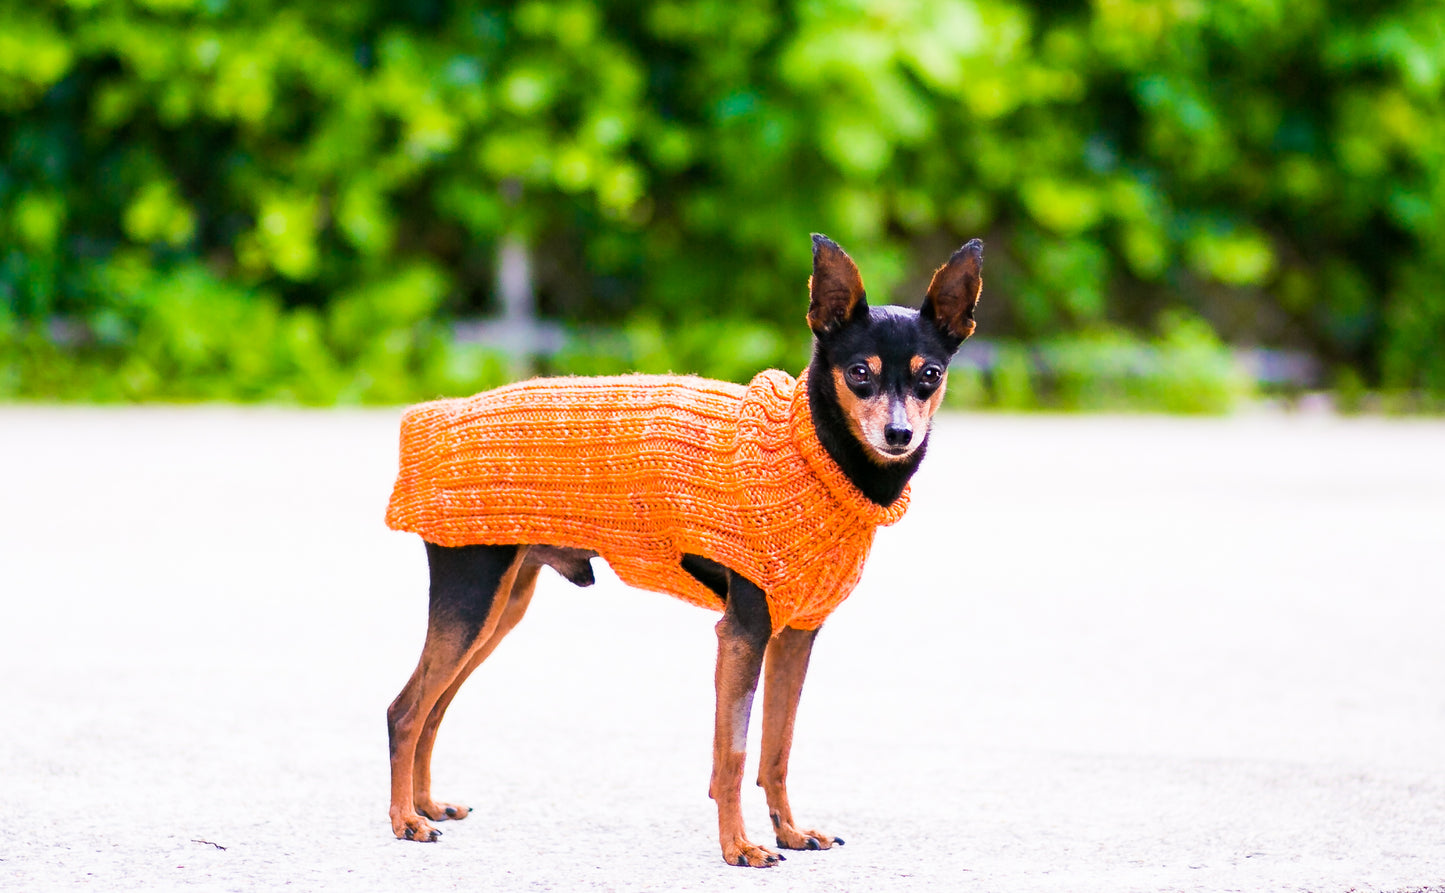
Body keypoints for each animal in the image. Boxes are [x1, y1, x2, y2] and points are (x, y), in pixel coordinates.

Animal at [384, 232, 982, 866]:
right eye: (860, 373)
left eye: (930, 375)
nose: (899, 435)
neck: (808, 451)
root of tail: (433, 418)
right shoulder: (743, 633)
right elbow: (734, 754)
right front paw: (739, 847)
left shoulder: (795, 635)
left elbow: (778, 748)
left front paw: (791, 832)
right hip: (473, 598)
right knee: (406, 711)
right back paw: (404, 820)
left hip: (501, 608)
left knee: (433, 709)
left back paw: (427, 805)